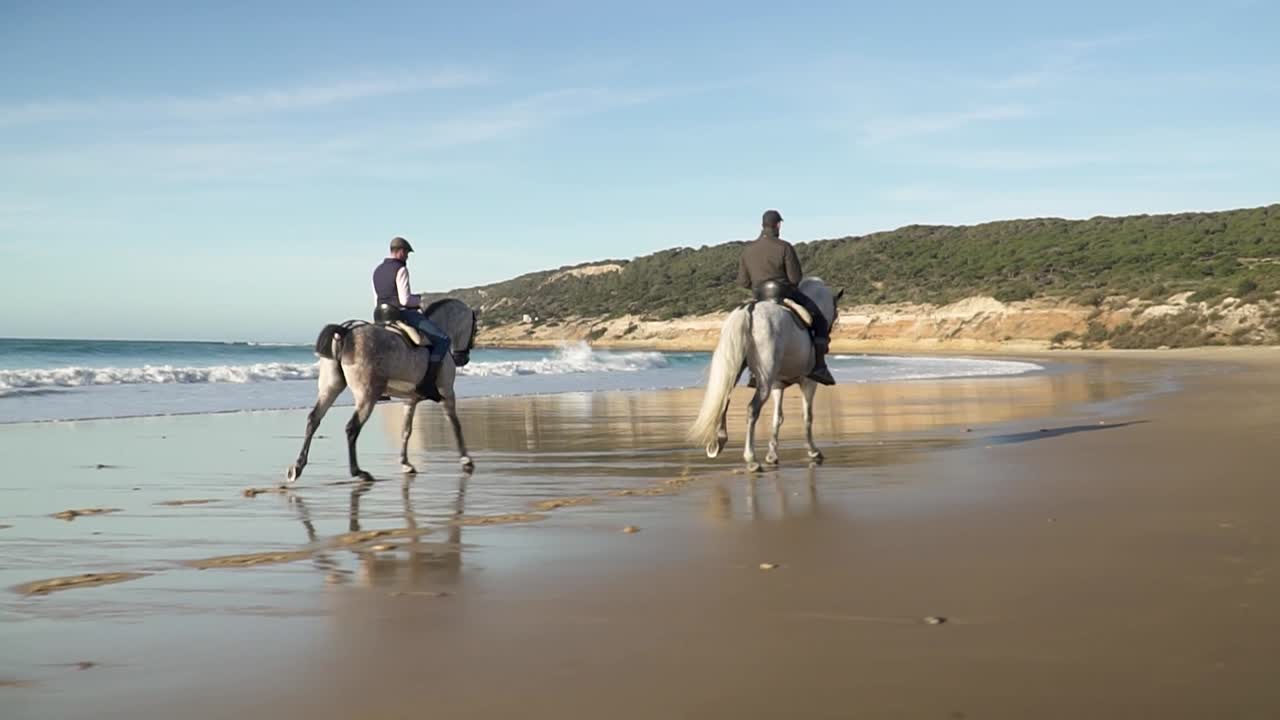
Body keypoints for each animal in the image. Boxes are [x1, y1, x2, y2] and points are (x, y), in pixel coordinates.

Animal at [286, 299, 479, 483]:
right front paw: (466, 460)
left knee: (314, 419)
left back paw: (297, 467)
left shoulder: (410, 399)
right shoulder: (447, 393)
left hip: (330, 388)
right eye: (474, 329)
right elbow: (455, 425)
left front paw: (406, 463)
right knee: (351, 428)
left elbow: (406, 431)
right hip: (367, 396)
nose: (463, 358)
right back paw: (359, 472)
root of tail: (346, 332)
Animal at [688, 277, 842, 472]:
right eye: (835, 313)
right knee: (752, 409)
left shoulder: (777, 385)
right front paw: (813, 451)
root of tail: (750, 309)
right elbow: (807, 416)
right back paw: (751, 459)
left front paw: (772, 454)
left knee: (724, 399)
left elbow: (777, 418)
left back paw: (719, 442)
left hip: (735, 368)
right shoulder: (808, 382)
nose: (829, 337)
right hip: (764, 381)